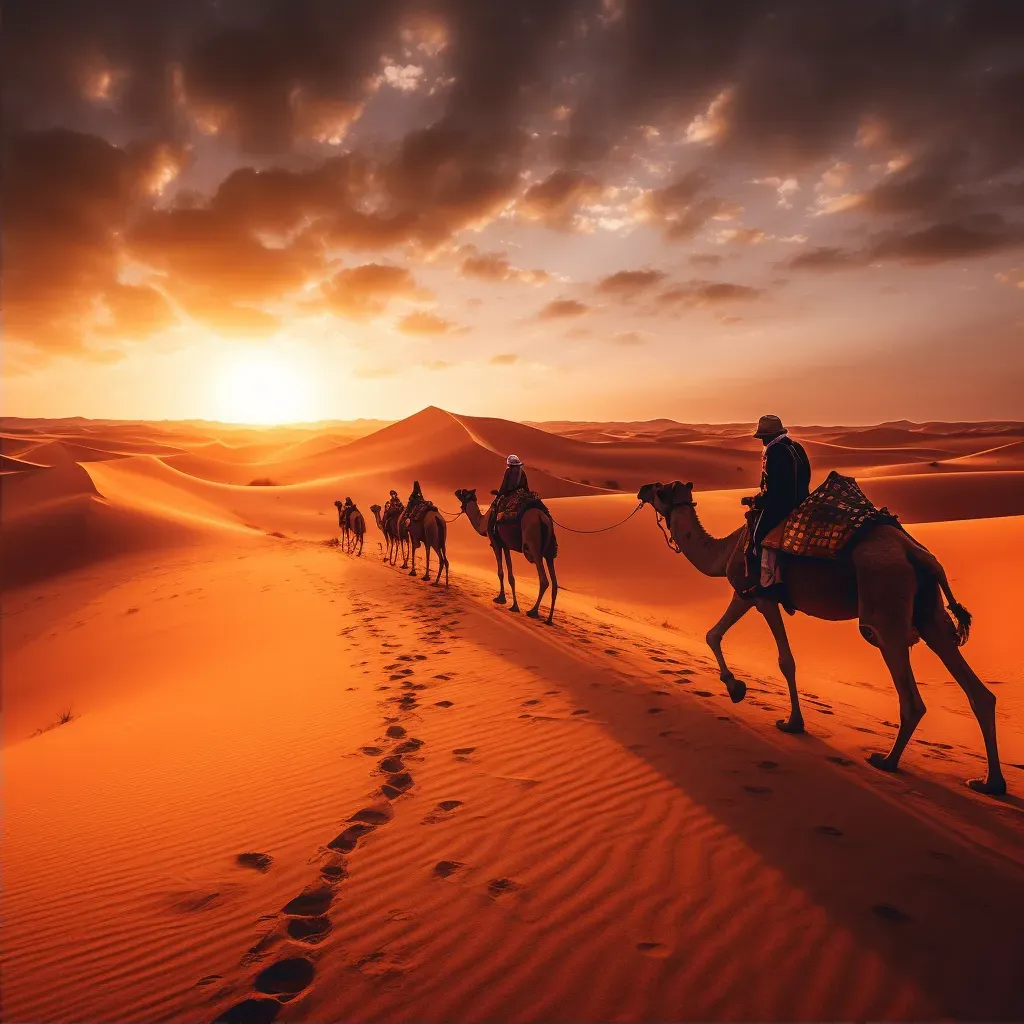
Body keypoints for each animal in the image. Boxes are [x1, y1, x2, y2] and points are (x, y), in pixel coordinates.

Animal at [454, 489, 561, 622]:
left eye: (463, 493)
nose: (456, 491)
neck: (484, 523)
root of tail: (543, 519)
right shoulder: (506, 546)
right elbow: (511, 576)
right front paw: (514, 606)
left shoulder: (495, 543)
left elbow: (500, 572)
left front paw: (500, 598)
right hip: (549, 552)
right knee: (555, 584)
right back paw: (549, 619)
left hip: (533, 546)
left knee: (544, 580)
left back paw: (533, 611)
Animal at [634, 481, 1003, 798]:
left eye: (661, 489)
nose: (641, 489)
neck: (726, 549)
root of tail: (918, 555)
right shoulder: (749, 595)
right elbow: (714, 634)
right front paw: (738, 689)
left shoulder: (758, 595)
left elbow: (782, 659)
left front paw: (786, 719)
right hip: (930, 615)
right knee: (979, 693)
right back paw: (990, 783)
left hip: (886, 608)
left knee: (911, 696)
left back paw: (887, 761)